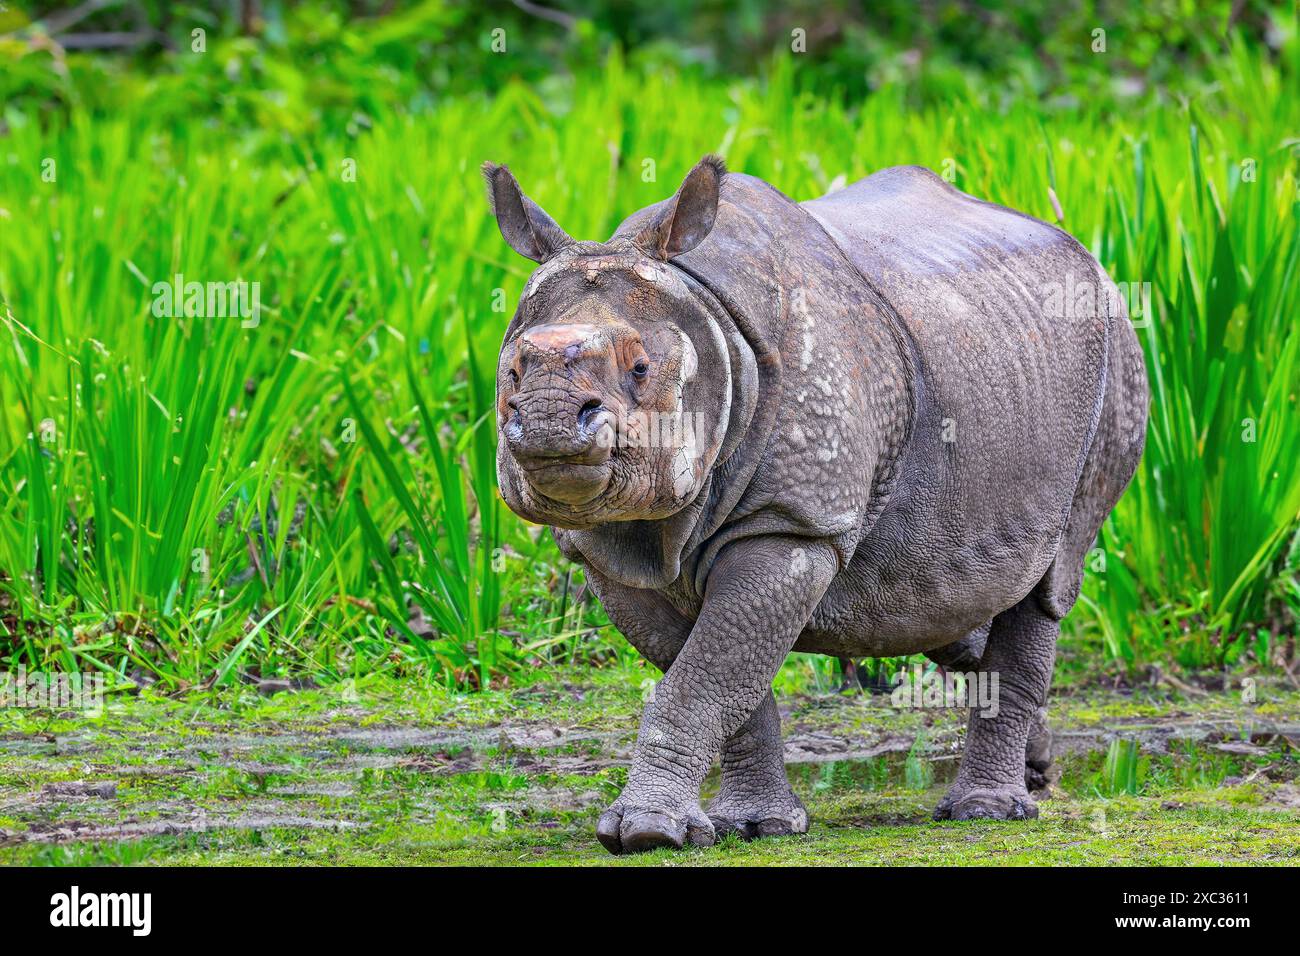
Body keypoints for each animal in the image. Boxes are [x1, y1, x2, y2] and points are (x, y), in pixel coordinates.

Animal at [483, 156, 1148, 854]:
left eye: (640, 368)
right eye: (512, 370)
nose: (550, 423)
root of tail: (1085, 255)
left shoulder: (792, 526)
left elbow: (704, 678)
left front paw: (647, 833)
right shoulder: (608, 551)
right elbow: (726, 681)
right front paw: (756, 825)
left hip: (1118, 360)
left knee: (1050, 580)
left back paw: (985, 811)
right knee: (956, 600)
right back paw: (1036, 769)